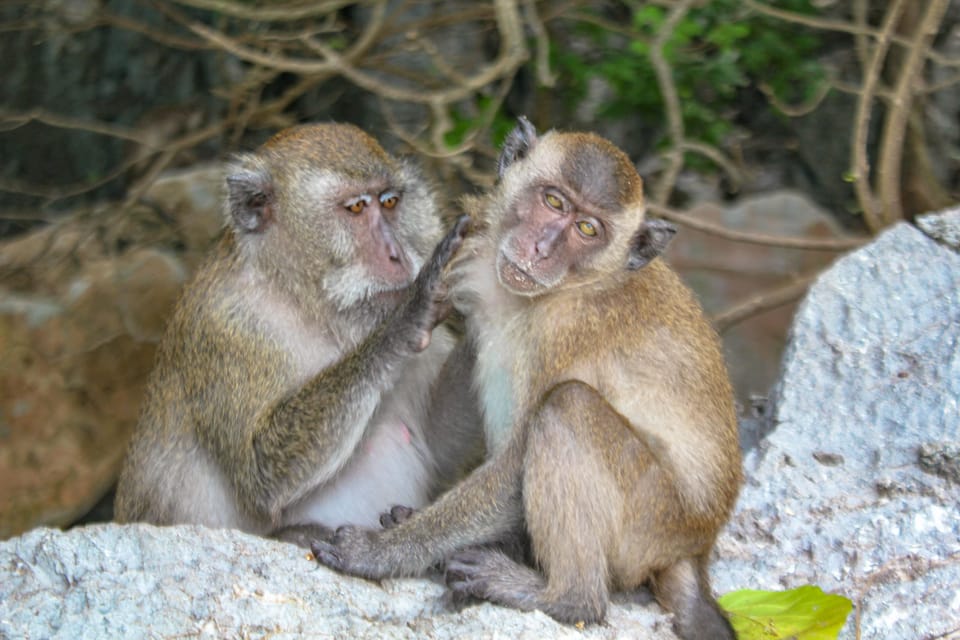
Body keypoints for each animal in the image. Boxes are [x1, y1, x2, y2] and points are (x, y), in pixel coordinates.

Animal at [115, 121, 484, 540]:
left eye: (389, 202)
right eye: (356, 208)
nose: (398, 256)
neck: (307, 305)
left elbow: (441, 444)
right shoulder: (224, 328)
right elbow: (260, 474)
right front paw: (408, 313)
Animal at [312, 116, 748, 640]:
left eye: (587, 229)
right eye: (554, 201)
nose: (541, 248)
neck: (569, 286)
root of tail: (696, 549)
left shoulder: (566, 329)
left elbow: (513, 468)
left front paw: (382, 553)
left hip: (654, 521)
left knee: (567, 408)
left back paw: (562, 596)